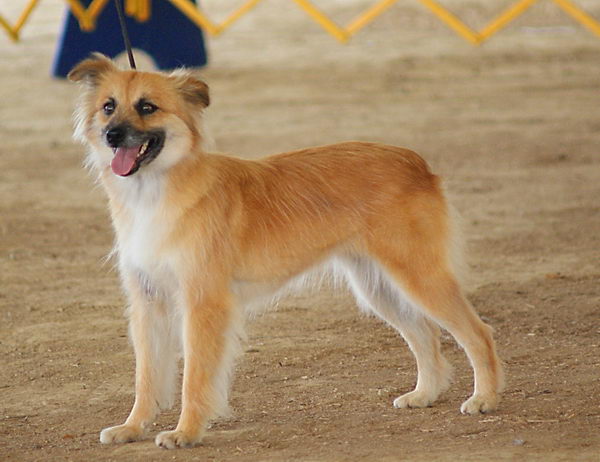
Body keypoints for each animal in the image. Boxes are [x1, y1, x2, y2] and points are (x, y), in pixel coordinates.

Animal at [68, 53, 504, 448]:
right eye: (108, 107)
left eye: (147, 107)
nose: (112, 135)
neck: (156, 191)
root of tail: (416, 162)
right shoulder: (148, 302)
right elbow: (146, 376)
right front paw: (132, 427)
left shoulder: (203, 305)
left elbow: (195, 377)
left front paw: (185, 432)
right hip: (380, 287)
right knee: (425, 335)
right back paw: (425, 394)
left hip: (419, 277)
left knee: (477, 334)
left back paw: (484, 398)